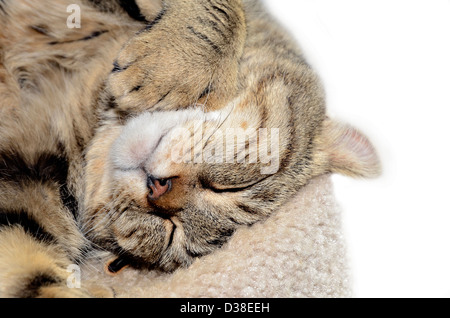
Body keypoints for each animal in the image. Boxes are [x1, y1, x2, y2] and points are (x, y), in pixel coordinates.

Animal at [0, 0, 380, 298]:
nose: (158, 190)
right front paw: (171, 67)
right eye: (232, 187)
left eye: (171, 234)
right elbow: (224, 9)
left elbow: (24, 273)